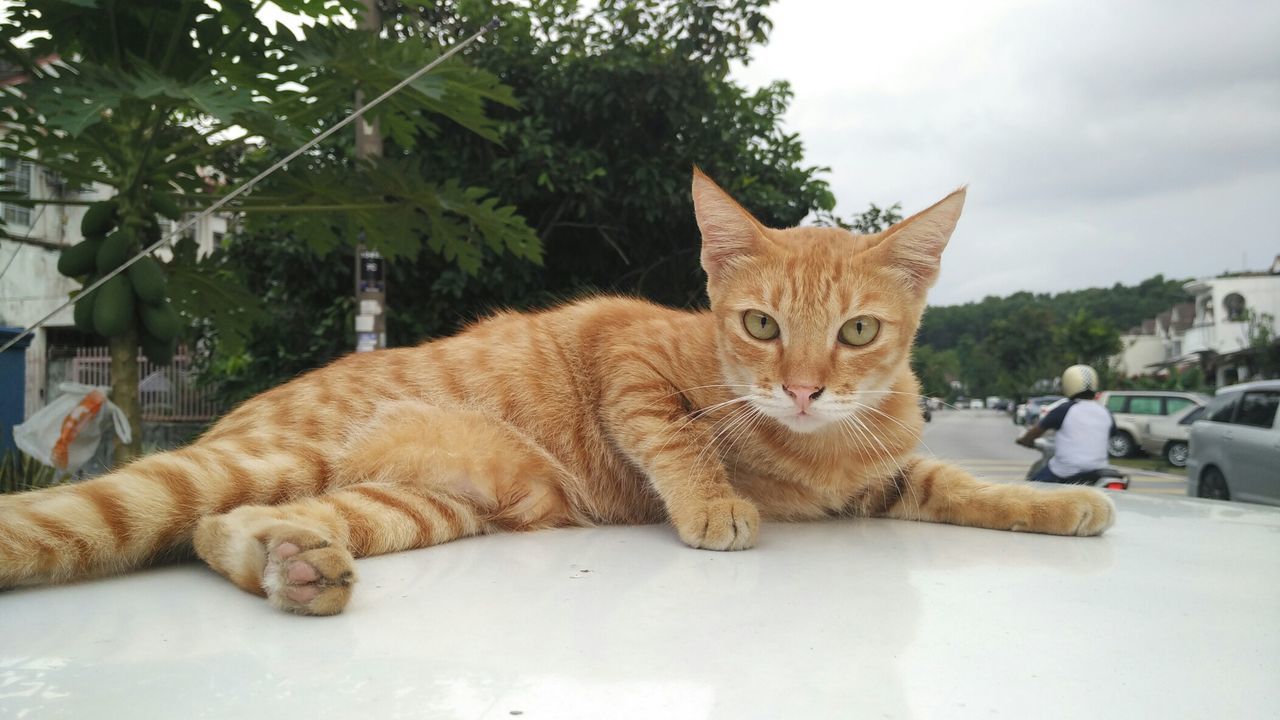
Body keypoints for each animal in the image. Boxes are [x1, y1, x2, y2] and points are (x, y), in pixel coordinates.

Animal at [0, 167, 1111, 609]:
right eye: (759, 326)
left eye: (857, 333)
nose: (800, 390)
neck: (817, 445)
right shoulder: (621, 346)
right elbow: (678, 433)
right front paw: (715, 503)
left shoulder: (881, 479)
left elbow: (955, 485)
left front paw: (1060, 507)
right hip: (268, 457)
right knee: (181, 514)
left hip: (417, 506)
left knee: (216, 532)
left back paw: (294, 566)